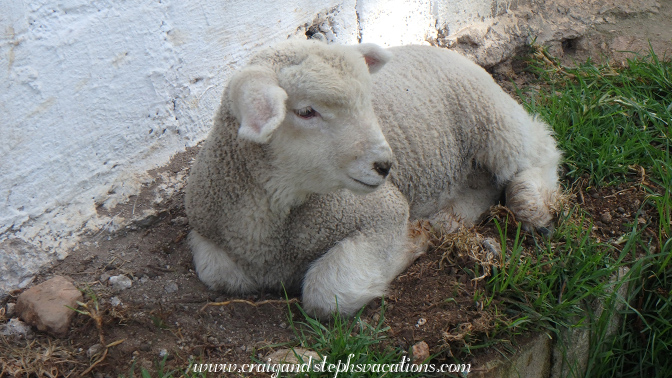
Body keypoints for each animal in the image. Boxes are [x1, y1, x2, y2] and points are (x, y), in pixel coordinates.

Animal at [184, 38, 560, 318]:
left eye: (367, 101)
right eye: (305, 111)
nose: (385, 165)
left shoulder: (384, 210)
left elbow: (327, 293)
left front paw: (412, 241)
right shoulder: (208, 234)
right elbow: (218, 273)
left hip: (491, 118)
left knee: (540, 146)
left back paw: (531, 202)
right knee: (485, 186)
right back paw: (449, 218)